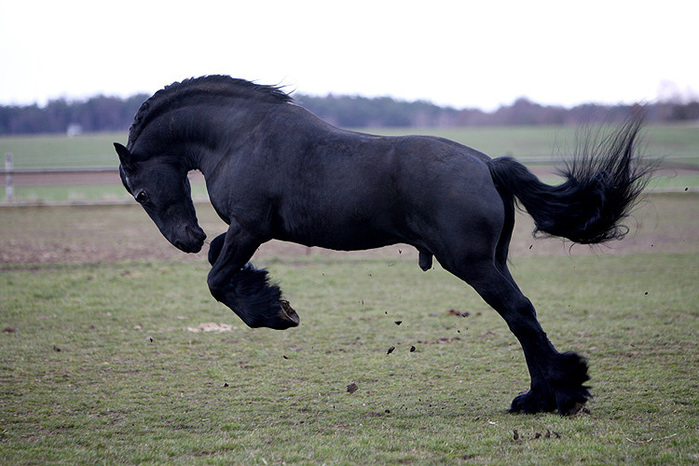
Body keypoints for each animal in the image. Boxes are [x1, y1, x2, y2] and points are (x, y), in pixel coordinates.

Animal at [116, 75, 652, 416]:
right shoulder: (243, 232)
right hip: (493, 261)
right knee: (524, 316)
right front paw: (270, 295)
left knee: (519, 313)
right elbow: (219, 262)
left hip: (472, 264)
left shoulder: (250, 228)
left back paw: (558, 397)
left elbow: (216, 279)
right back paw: (542, 397)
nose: (185, 240)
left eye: (140, 193)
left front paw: (276, 313)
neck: (240, 135)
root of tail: (485, 163)